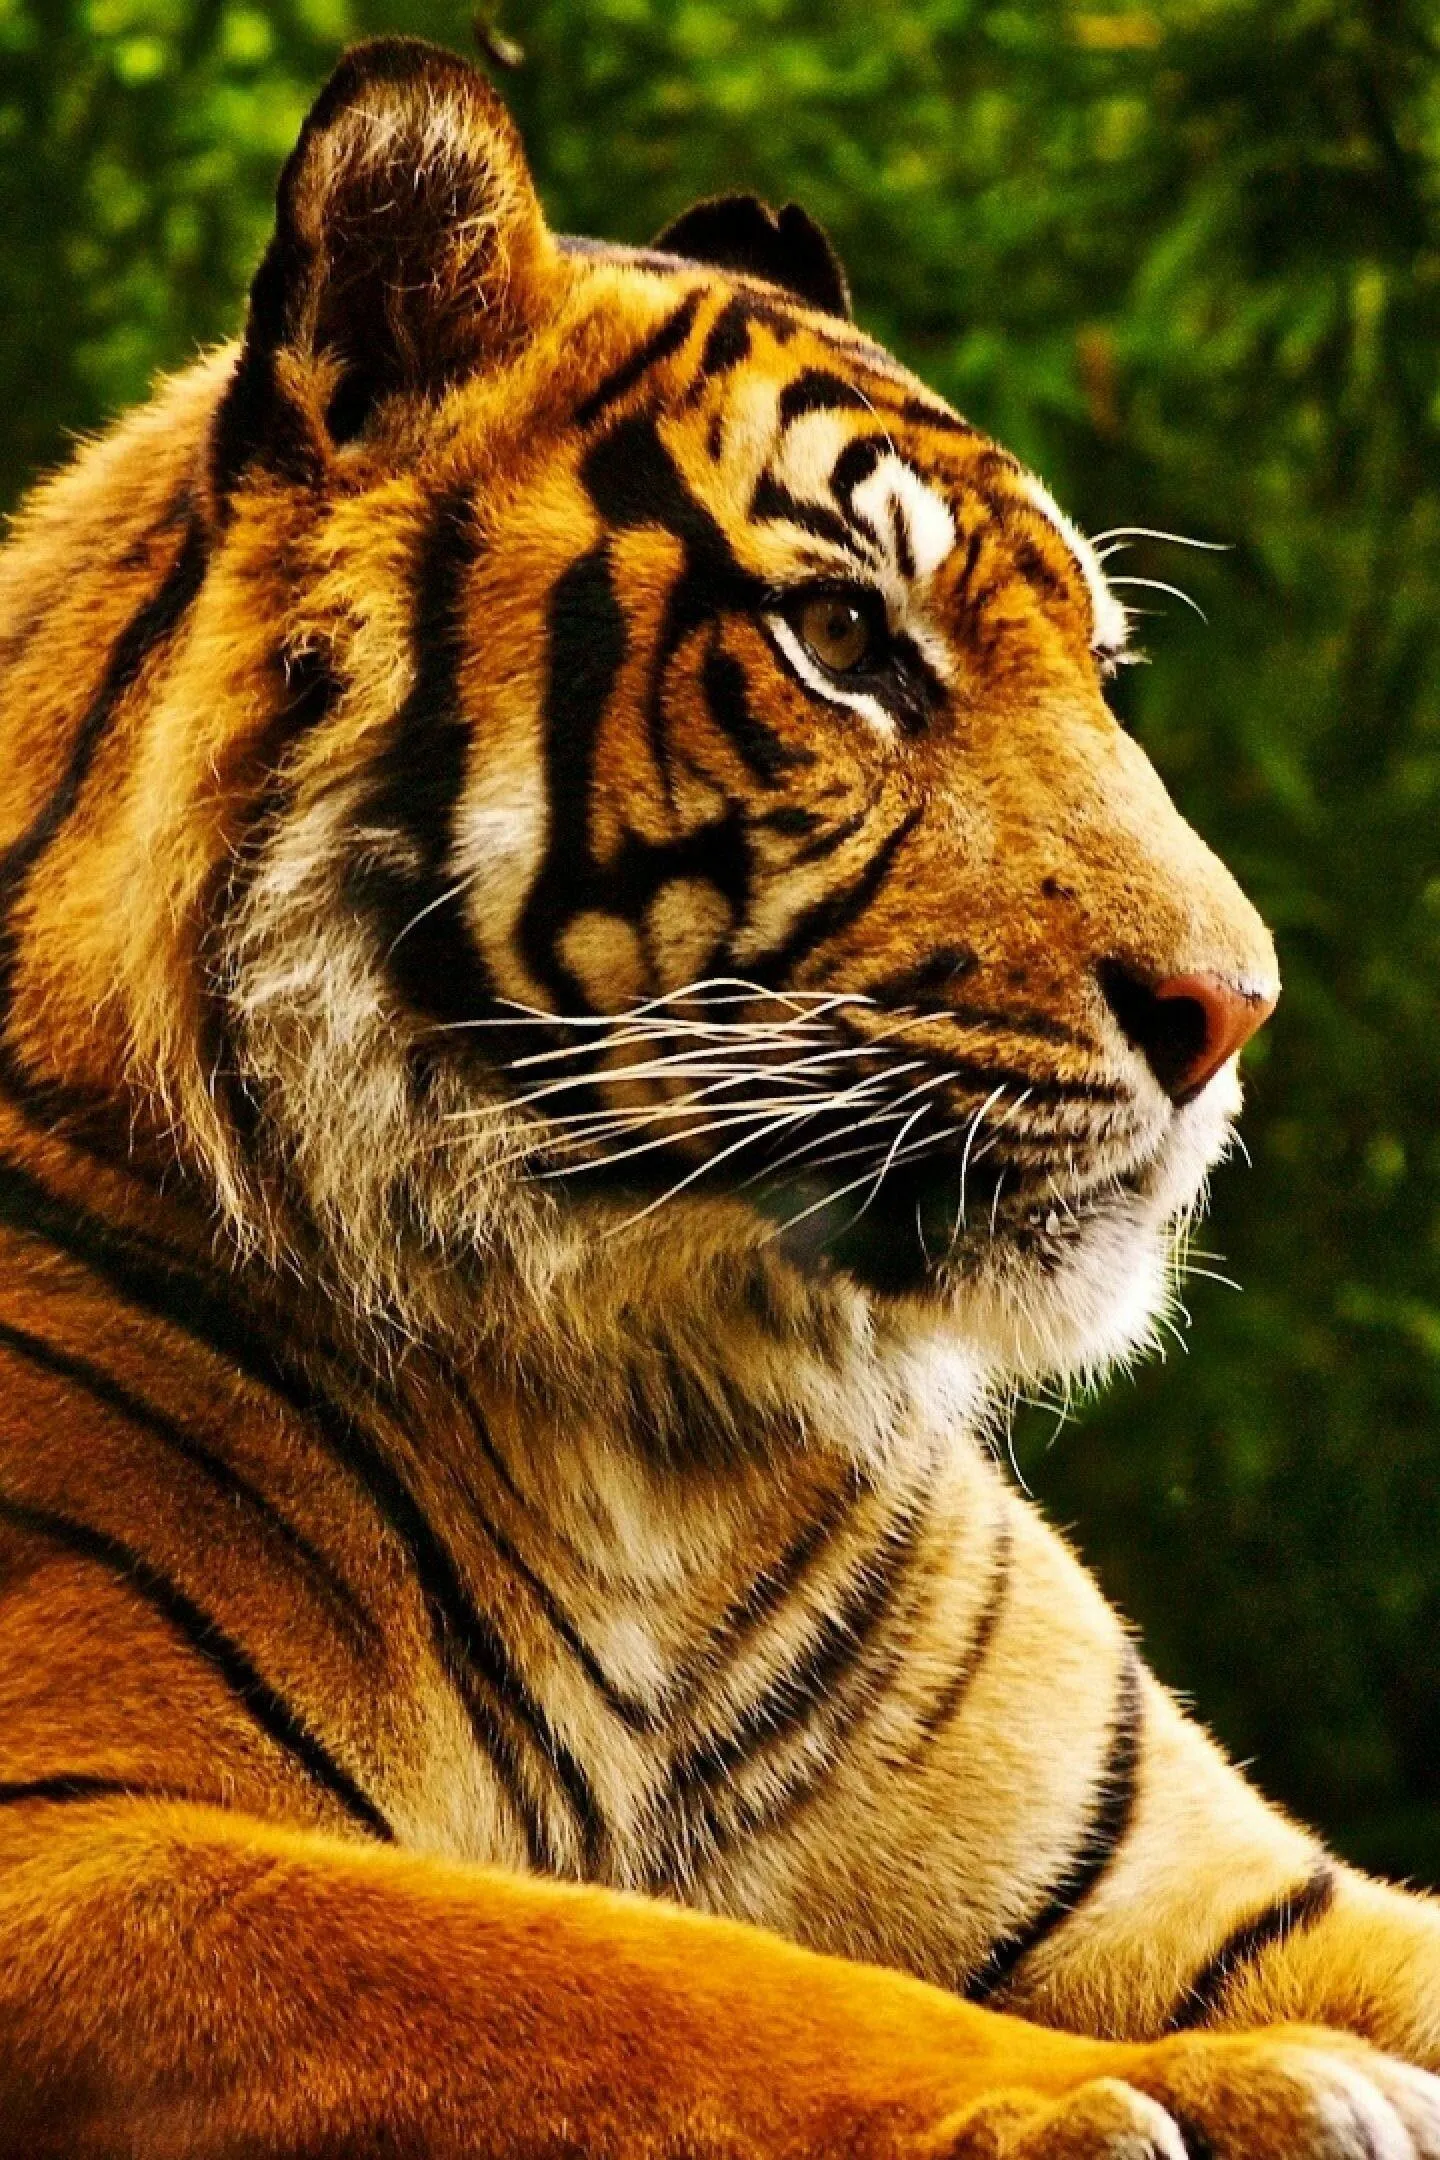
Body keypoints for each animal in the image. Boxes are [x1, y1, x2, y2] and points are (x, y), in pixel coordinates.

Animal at [1, 30, 1438, 2160]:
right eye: (842, 639)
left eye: (1098, 672)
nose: (1231, 1011)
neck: (651, 1423)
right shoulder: (80, 1834)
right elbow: (641, 1982)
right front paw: (1186, 2090)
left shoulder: (1230, 1884)